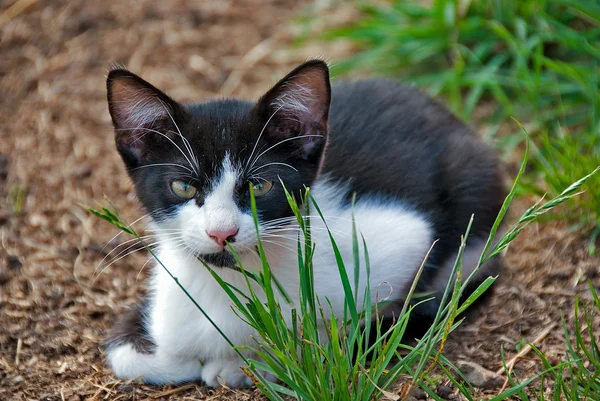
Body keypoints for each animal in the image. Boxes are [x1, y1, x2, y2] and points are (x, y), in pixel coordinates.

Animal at [104, 60, 506, 388]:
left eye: (259, 186)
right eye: (183, 187)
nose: (222, 233)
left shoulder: (402, 236)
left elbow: (333, 333)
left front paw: (251, 361)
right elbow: (127, 355)